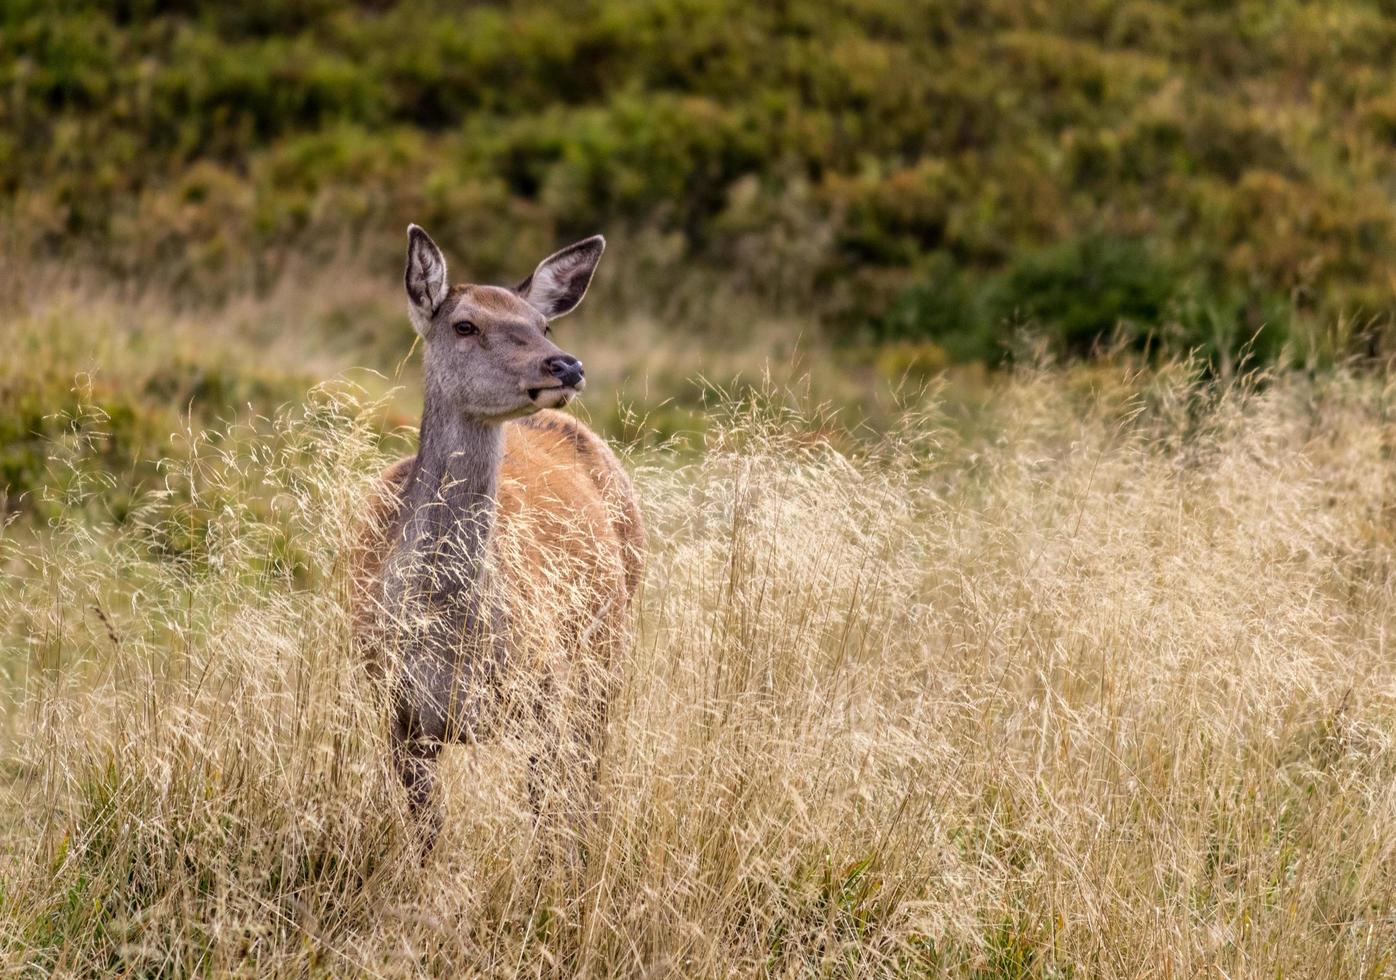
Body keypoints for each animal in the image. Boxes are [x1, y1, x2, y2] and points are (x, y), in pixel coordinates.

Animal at [357, 224, 644, 854]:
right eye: (465, 324)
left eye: (543, 326)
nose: (566, 365)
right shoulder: (396, 715)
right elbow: (429, 839)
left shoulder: (544, 700)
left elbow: (545, 824)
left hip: (605, 659)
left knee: (589, 784)